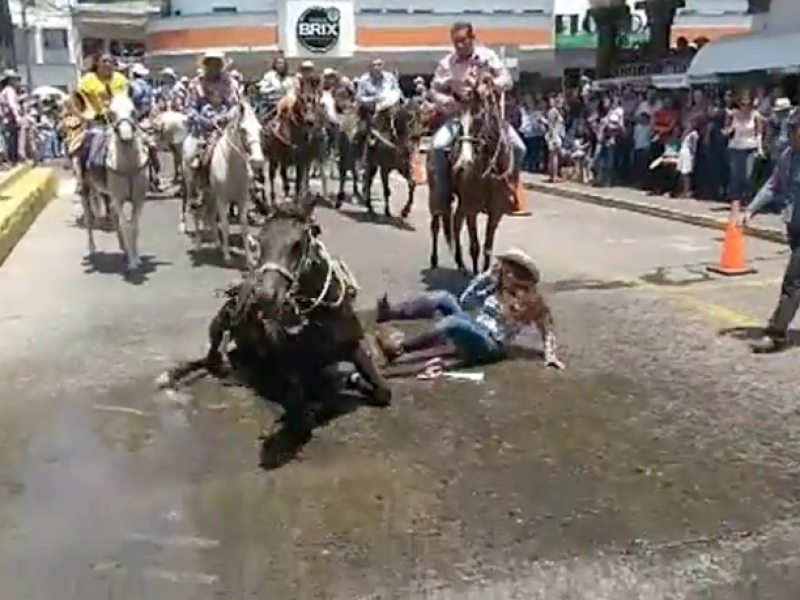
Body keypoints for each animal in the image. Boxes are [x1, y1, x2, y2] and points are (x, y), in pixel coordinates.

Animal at [155, 199, 390, 462]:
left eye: (298, 243)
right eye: (261, 240)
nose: (265, 297)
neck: (320, 316)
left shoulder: (354, 347)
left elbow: (383, 391)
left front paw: (355, 381)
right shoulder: (293, 369)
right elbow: (303, 417)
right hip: (219, 324)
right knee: (208, 360)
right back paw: (174, 374)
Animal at [181, 99, 262, 264]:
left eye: (260, 129)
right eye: (243, 130)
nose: (258, 160)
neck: (231, 166)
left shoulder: (242, 199)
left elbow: (244, 226)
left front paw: (250, 259)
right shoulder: (222, 199)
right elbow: (225, 225)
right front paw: (227, 255)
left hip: (211, 194)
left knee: (210, 216)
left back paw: (217, 243)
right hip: (193, 187)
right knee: (197, 214)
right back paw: (199, 244)